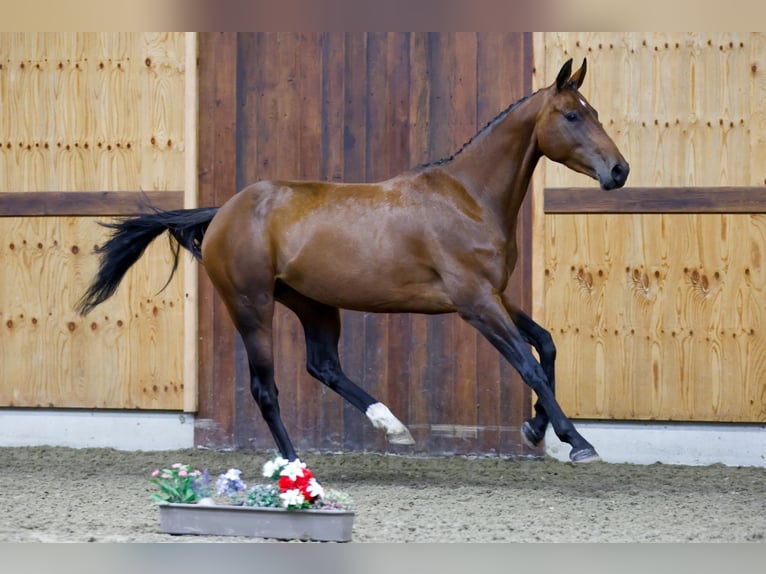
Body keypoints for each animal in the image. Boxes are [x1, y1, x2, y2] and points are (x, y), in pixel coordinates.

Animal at [78, 59, 632, 464]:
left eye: (594, 111)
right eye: (572, 115)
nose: (619, 170)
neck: (469, 197)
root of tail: (223, 213)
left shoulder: (494, 294)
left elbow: (547, 345)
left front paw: (536, 428)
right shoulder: (475, 302)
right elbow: (528, 364)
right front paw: (577, 441)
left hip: (313, 303)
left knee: (323, 366)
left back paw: (392, 425)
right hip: (251, 305)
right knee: (265, 388)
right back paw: (295, 465)